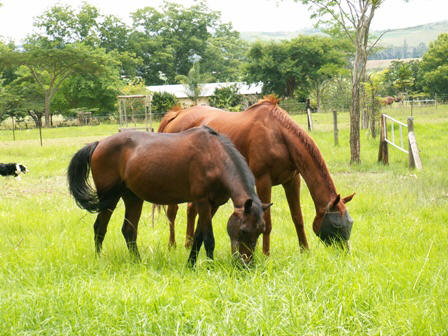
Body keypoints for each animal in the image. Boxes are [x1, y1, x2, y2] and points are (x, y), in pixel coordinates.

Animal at [66, 126, 270, 266]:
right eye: (243, 230)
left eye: (260, 231)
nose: (246, 265)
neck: (214, 156)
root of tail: (98, 144)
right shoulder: (202, 202)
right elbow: (208, 239)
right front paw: (210, 267)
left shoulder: (213, 205)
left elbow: (198, 236)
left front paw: (191, 265)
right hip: (109, 198)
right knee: (100, 228)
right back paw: (99, 260)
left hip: (133, 198)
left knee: (128, 230)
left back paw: (138, 261)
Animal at [159, 96, 356, 253]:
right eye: (336, 224)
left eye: (350, 223)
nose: (345, 251)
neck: (279, 136)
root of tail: (177, 115)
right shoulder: (263, 181)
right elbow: (267, 223)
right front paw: (266, 254)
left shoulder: (292, 180)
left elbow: (297, 218)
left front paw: (305, 251)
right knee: (172, 212)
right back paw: (172, 245)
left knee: (191, 209)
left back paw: (188, 244)